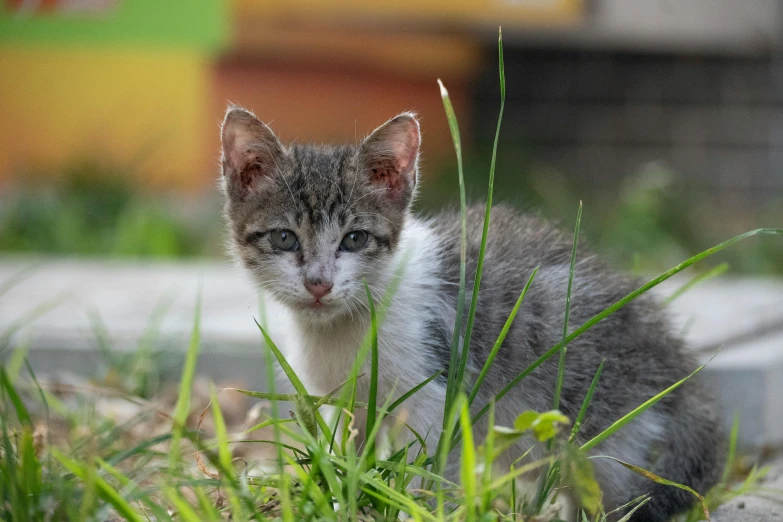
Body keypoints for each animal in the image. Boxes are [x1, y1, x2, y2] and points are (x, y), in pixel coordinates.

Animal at [220, 106, 724, 520]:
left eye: (355, 239)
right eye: (284, 238)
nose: (319, 284)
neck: (344, 327)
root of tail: (682, 372)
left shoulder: (431, 389)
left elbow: (421, 467)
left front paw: (410, 507)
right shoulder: (345, 404)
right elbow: (353, 455)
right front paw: (351, 494)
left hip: (610, 433)